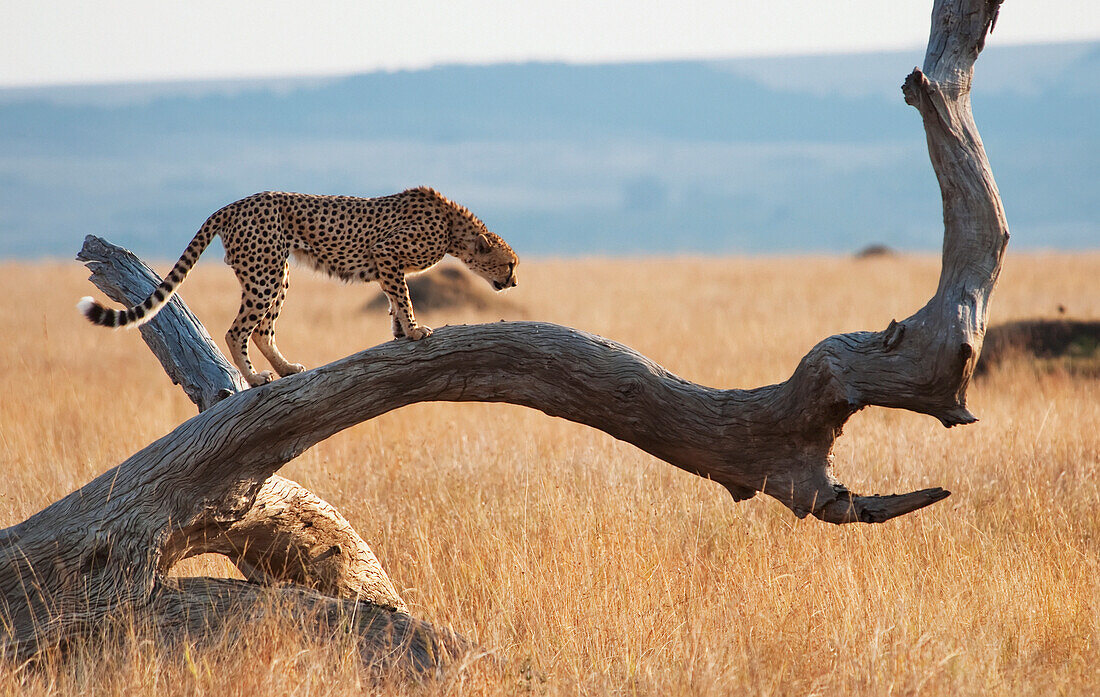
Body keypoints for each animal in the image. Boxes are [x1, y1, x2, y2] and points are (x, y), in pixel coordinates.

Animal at [79, 185, 517, 384]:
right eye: (510, 263)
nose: (513, 281)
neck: (453, 228)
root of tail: (233, 204)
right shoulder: (386, 252)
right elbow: (403, 297)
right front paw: (413, 330)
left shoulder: (387, 264)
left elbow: (395, 298)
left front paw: (399, 332)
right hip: (267, 271)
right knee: (238, 330)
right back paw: (256, 379)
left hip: (279, 273)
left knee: (262, 330)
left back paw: (286, 368)